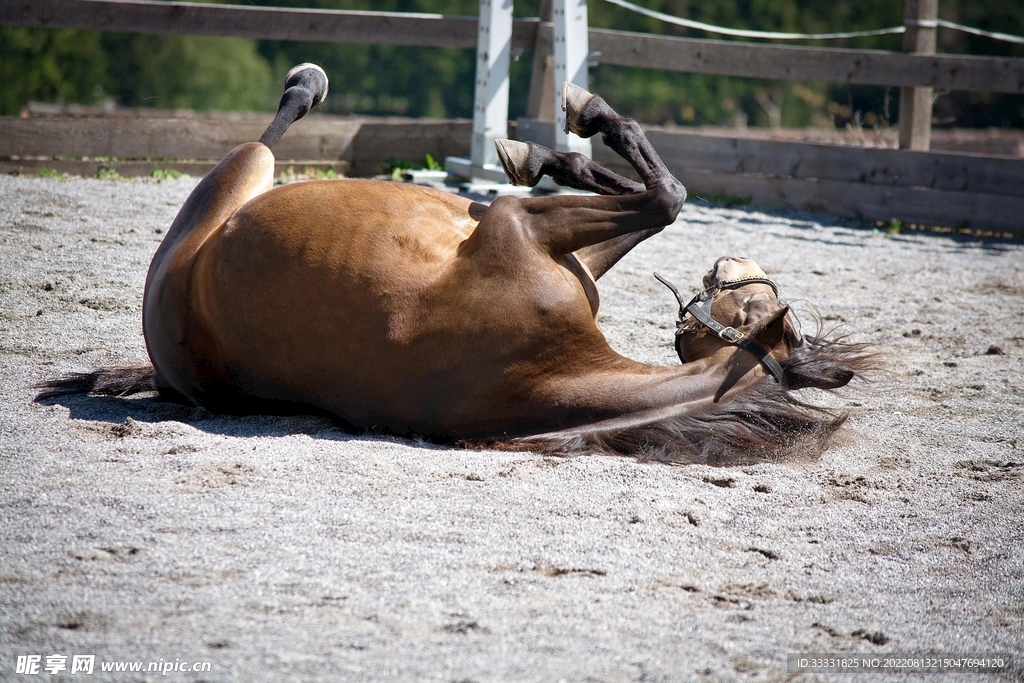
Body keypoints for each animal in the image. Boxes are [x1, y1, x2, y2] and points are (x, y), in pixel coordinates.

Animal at [40, 64, 874, 464]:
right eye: (764, 306)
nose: (730, 266)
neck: (548, 370)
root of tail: (164, 353)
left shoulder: (517, 225)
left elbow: (663, 196)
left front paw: (574, 129)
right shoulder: (541, 237)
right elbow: (652, 195)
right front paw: (552, 149)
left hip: (236, 178)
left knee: (272, 130)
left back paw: (306, 84)